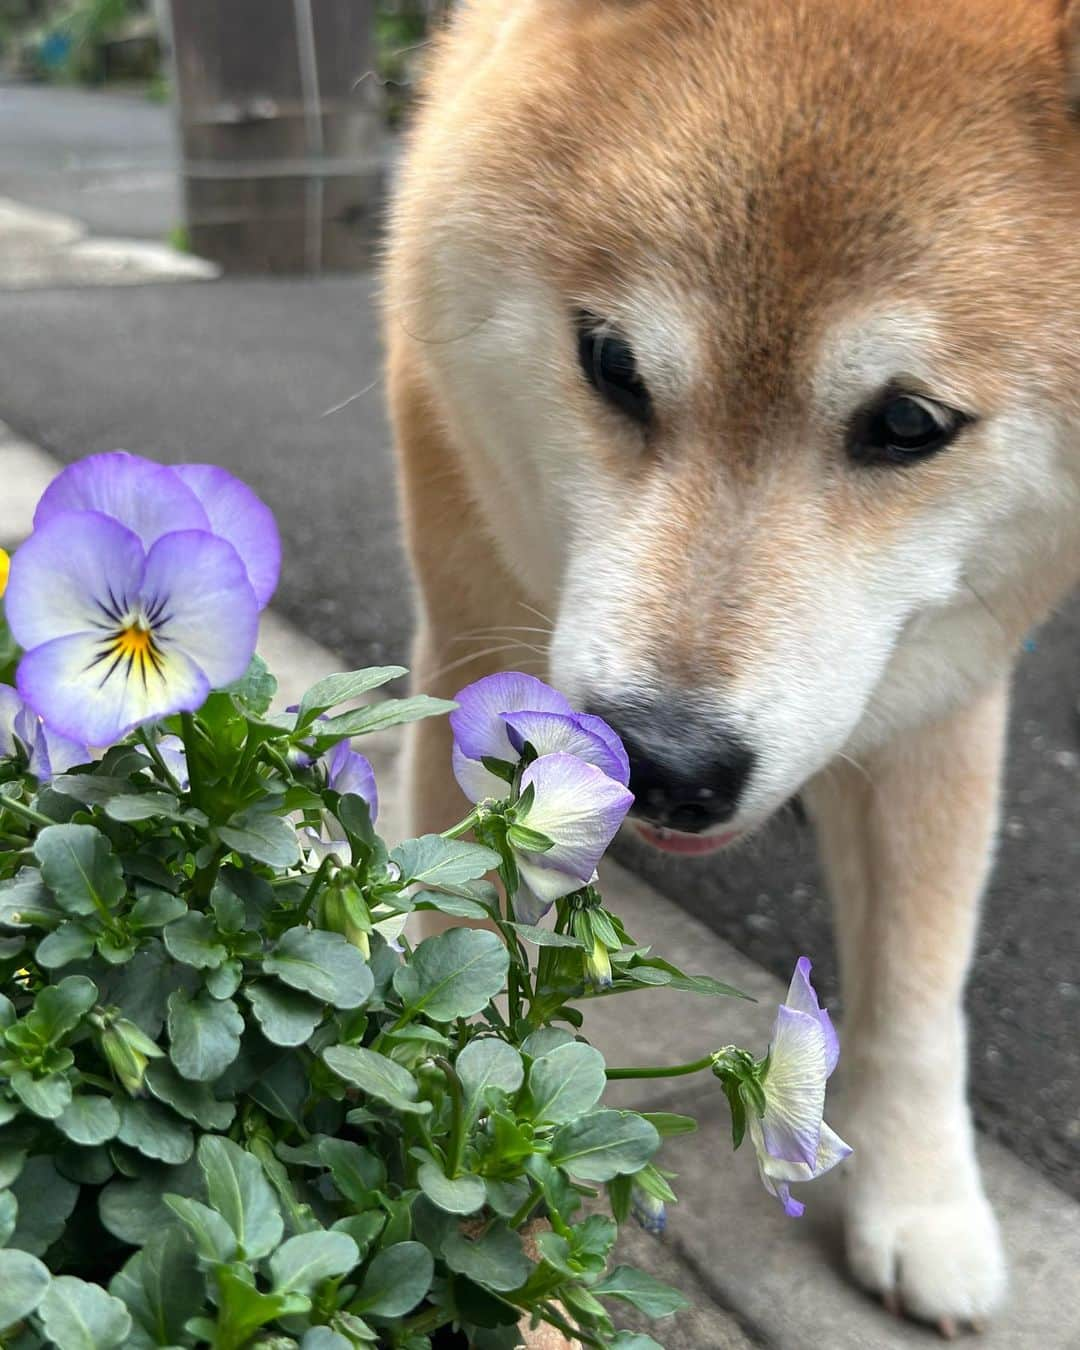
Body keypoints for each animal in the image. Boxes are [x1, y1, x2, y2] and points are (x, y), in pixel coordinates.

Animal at [383, 0, 1080, 1328]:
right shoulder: (472, 619)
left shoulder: (942, 691)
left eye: (909, 424)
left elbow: (920, 972)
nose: (661, 763)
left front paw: (923, 1199)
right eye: (611, 361)